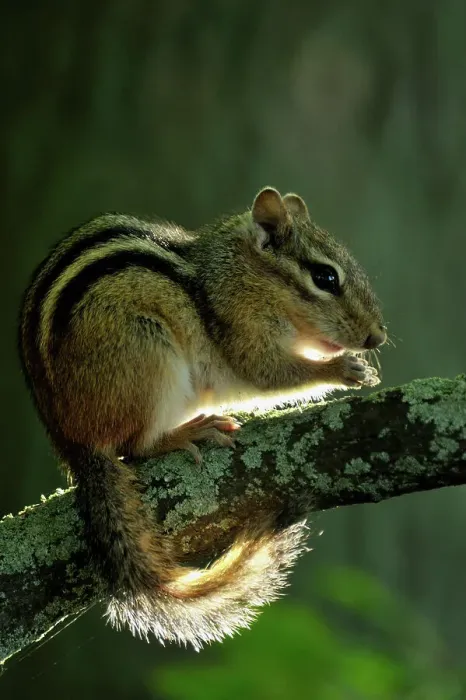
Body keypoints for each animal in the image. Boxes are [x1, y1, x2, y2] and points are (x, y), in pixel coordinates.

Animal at [18, 187, 387, 650]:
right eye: (326, 278)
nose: (377, 336)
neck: (244, 275)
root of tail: (71, 441)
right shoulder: (243, 331)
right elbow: (268, 373)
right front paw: (343, 368)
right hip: (147, 351)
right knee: (133, 447)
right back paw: (188, 432)